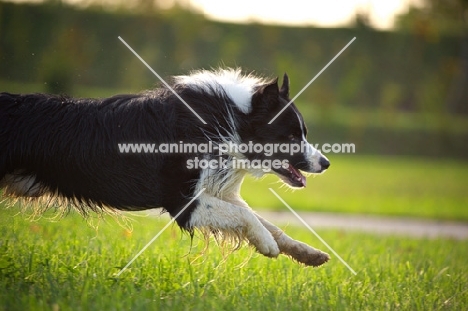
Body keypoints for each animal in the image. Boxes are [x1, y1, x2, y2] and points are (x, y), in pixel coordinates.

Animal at [0, 69, 330, 266]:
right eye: (291, 136)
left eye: (303, 133)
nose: (325, 163)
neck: (231, 120)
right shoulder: (182, 202)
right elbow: (247, 216)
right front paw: (267, 245)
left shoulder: (214, 191)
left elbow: (266, 221)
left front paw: (305, 252)